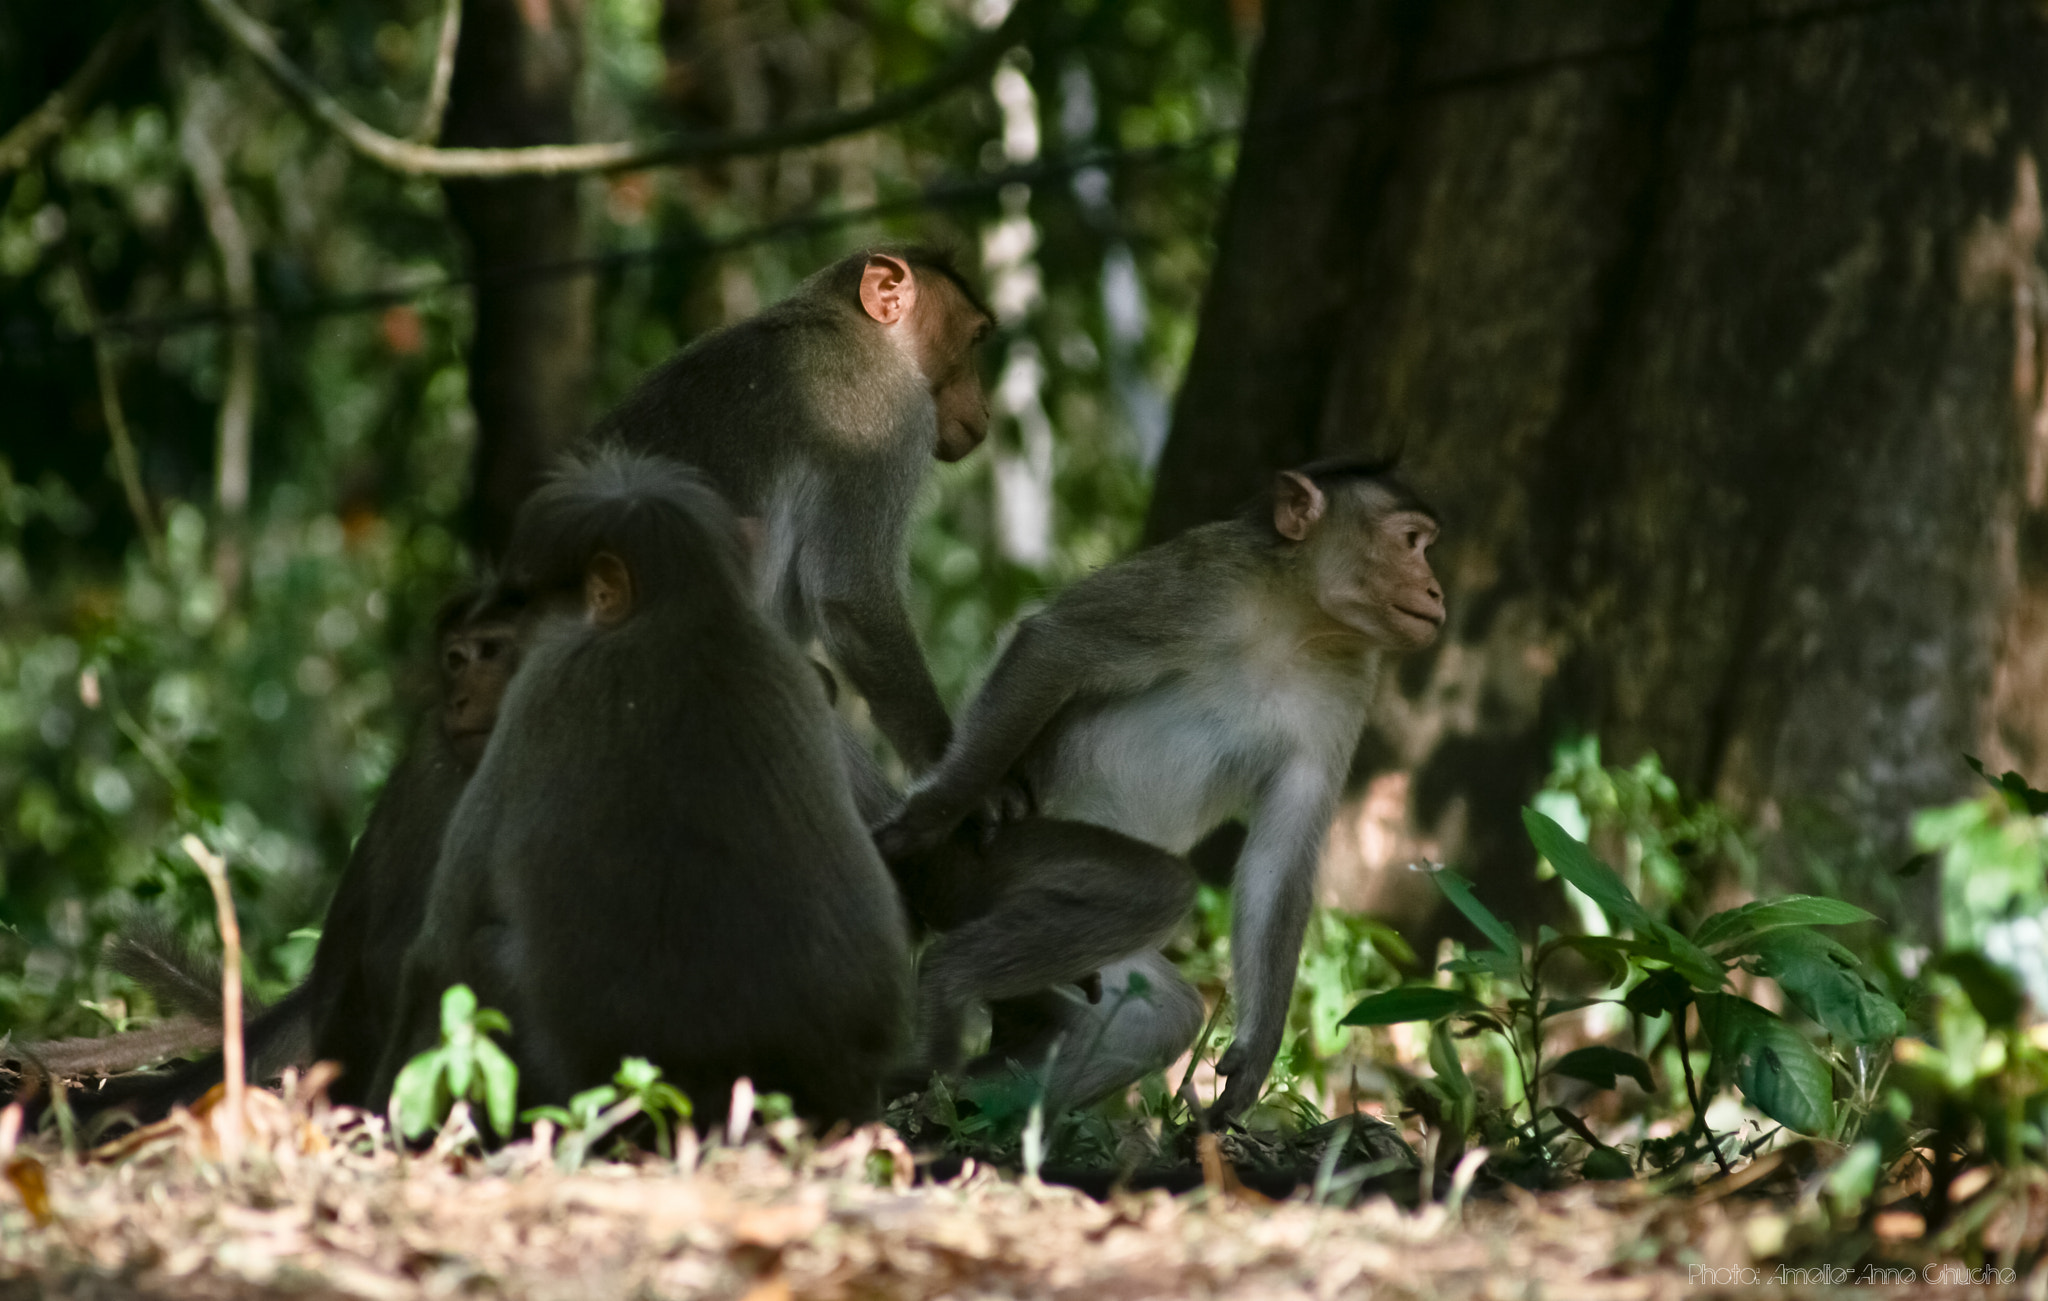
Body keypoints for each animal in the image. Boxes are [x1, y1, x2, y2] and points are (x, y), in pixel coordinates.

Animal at [369, 448, 913, 1128]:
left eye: (531, 612)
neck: (682, 614)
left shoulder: (545, 689)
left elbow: (439, 950)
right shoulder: (795, 672)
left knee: (480, 955)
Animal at [587, 245, 995, 774]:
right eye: (974, 340)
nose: (986, 410)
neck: (853, 325)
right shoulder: (888, 414)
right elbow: (851, 597)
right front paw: (941, 758)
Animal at [873, 458, 1445, 1123]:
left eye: (1426, 548)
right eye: (1410, 542)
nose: (1436, 591)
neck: (1297, 624)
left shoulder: (1348, 684)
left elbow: (1280, 856)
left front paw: (1254, 1058)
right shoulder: (1204, 582)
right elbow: (1056, 645)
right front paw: (928, 815)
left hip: (1090, 963)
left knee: (1154, 1018)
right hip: (979, 869)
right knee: (1155, 888)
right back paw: (947, 980)